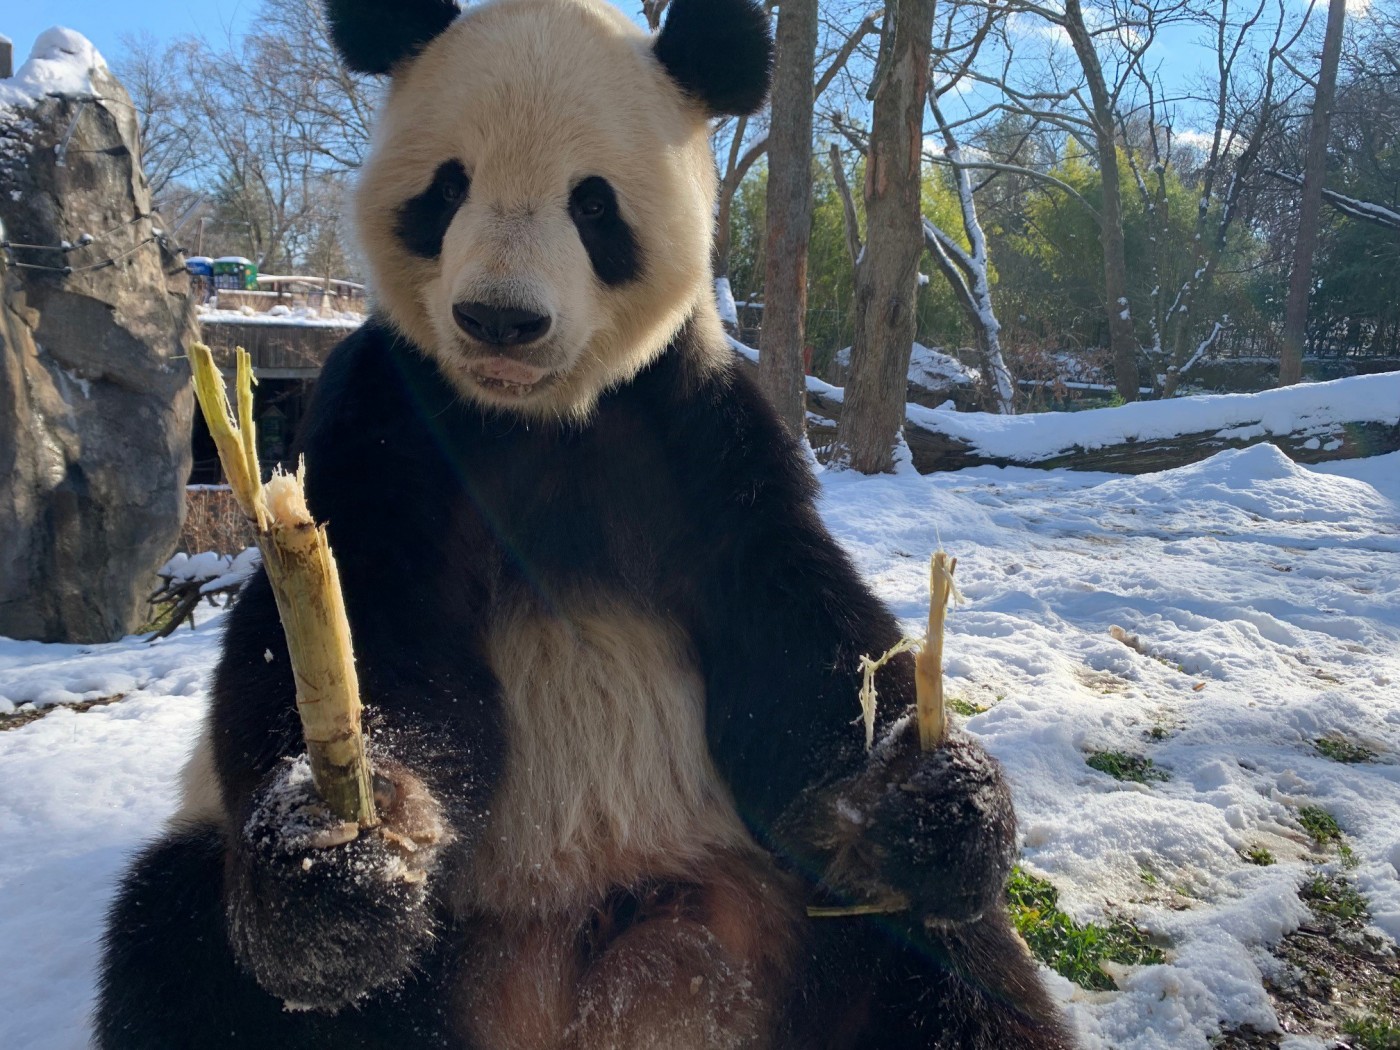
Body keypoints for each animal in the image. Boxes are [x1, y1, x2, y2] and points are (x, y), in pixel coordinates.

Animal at [98, 0, 1075, 1047]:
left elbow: (795, 641)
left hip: (804, 905)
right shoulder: (391, 415)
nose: (499, 320)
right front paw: (348, 860)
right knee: (184, 949)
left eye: (594, 206)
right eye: (450, 188)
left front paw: (932, 795)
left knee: (953, 965)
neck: (538, 418)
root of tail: (592, 994)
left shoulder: (699, 429)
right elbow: (368, 636)